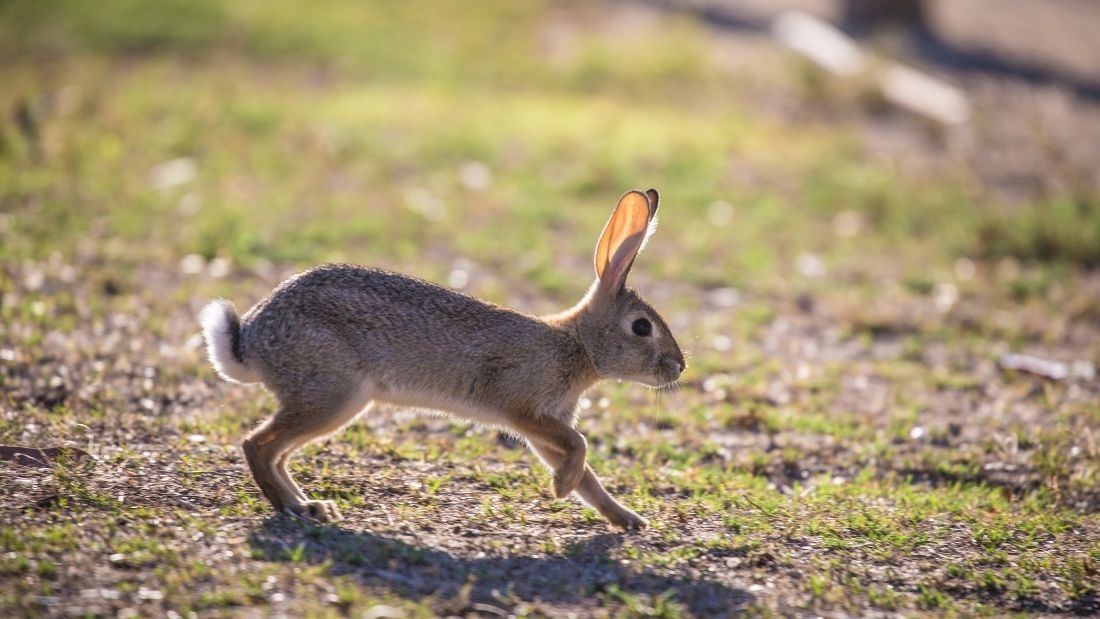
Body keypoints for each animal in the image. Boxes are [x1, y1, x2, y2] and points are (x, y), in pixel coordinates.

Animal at [196, 188, 677, 527]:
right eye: (641, 327)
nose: (680, 366)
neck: (577, 344)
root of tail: (252, 341)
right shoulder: (523, 408)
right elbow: (579, 445)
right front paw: (561, 488)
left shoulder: (543, 427)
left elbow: (587, 475)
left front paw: (626, 519)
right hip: (333, 394)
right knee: (258, 445)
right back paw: (292, 508)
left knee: (276, 452)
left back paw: (308, 506)